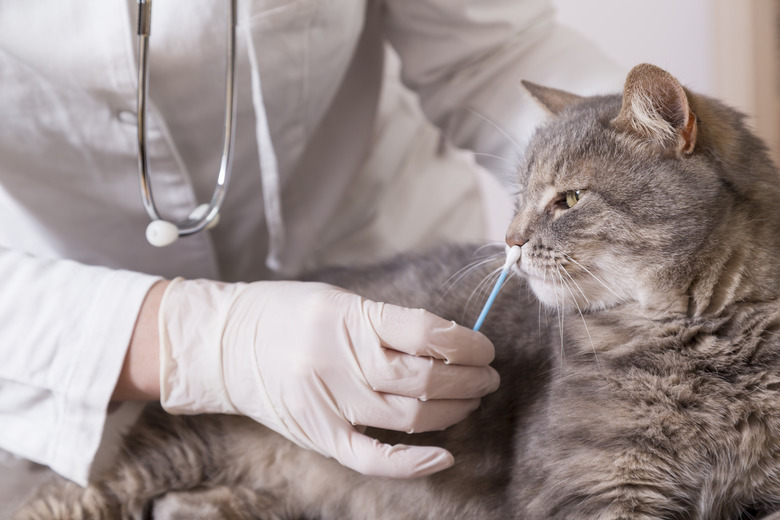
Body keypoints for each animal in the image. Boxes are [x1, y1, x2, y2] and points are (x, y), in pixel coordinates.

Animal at [10, 65, 780, 520]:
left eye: (567, 199)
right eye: (519, 194)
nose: (509, 238)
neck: (711, 343)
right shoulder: (593, 489)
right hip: (175, 444)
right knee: (64, 497)